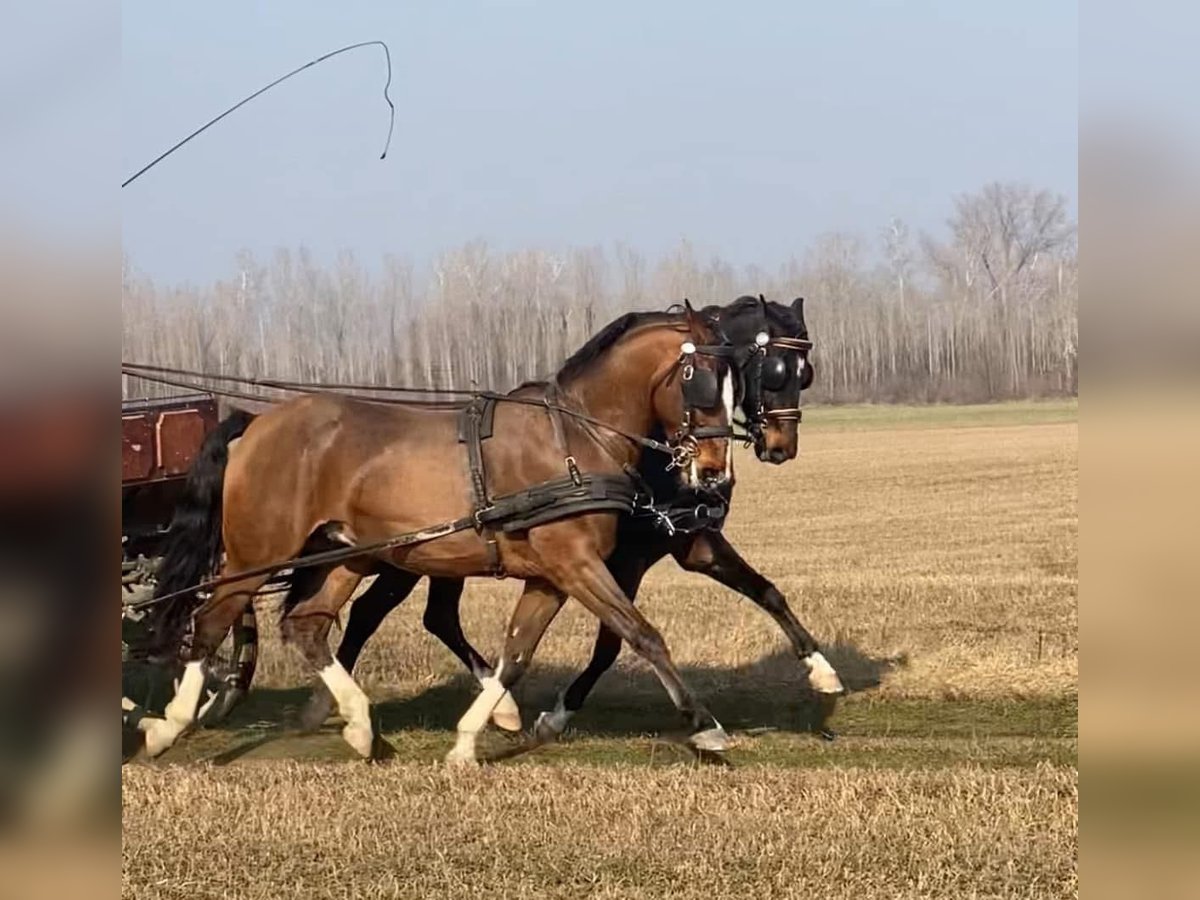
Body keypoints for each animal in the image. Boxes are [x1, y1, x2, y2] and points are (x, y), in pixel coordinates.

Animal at [140, 303, 739, 763]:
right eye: (704, 381)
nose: (715, 471)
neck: (572, 437)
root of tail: (257, 423)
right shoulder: (576, 563)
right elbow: (643, 633)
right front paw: (706, 725)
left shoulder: (551, 576)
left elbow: (515, 655)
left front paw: (469, 741)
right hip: (255, 553)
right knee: (210, 621)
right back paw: (169, 724)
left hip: (343, 555)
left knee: (307, 626)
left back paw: (359, 725)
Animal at [300, 296, 844, 748]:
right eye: (774, 369)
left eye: (806, 372)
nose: (781, 447)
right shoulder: (617, 560)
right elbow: (613, 641)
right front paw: (558, 714)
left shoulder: (690, 542)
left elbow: (766, 591)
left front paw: (822, 670)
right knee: (383, 614)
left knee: (418, 616)